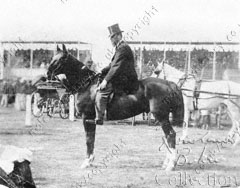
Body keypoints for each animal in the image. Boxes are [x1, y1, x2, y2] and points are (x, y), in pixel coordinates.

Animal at [47, 44, 186, 170]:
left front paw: (87, 162)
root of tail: (170, 84)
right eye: (53, 57)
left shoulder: (86, 118)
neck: (87, 85)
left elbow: (88, 140)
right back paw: (166, 163)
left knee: (171, 135)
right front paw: (90, 161)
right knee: (168, 136)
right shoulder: (90, 120)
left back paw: (171, 165)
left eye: (60, 59)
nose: (47, 74)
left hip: (161, 116)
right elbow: (92, 139)